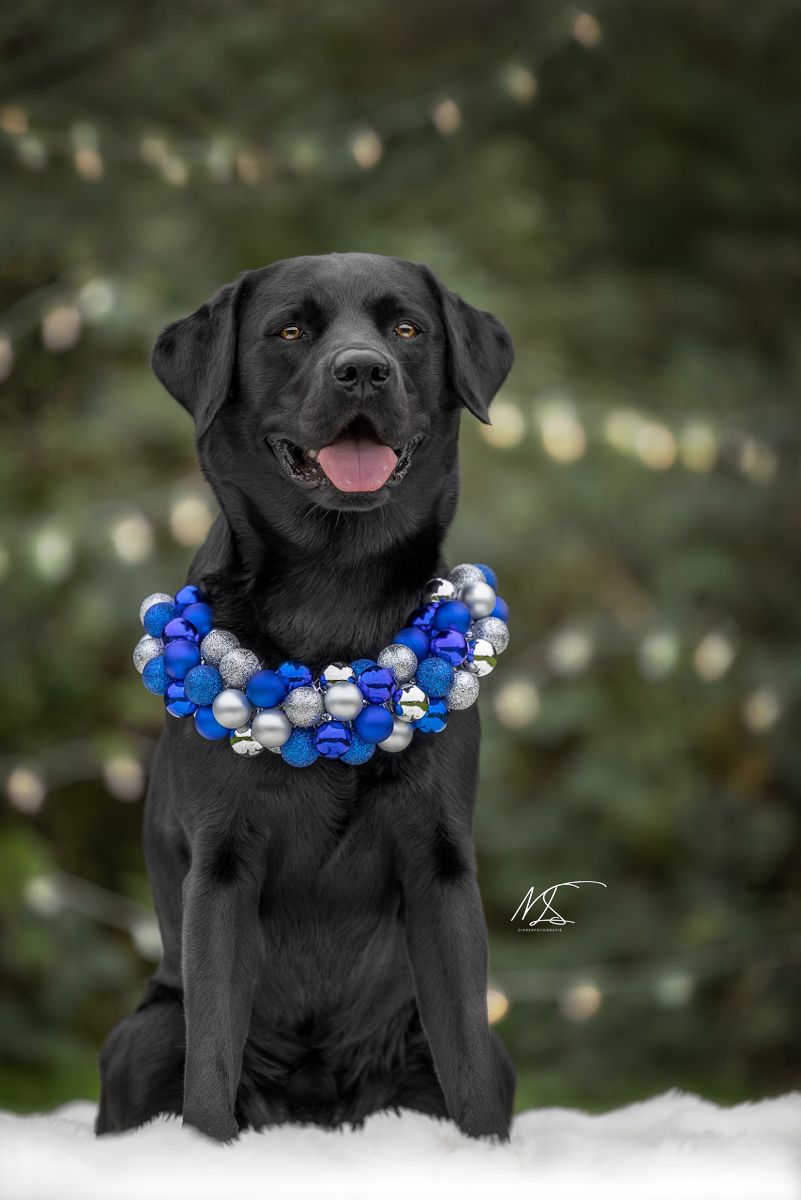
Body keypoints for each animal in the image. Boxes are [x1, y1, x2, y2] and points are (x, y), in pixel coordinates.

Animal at [96, 251, 516, 1143]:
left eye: (406, 328)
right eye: (288, 330)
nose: (362, 369)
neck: (334, 593)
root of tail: (320, 1114)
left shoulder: (440, 864)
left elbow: (466, 1049)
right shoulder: (222, 867)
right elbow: (212, 1056)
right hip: (144, 1035)